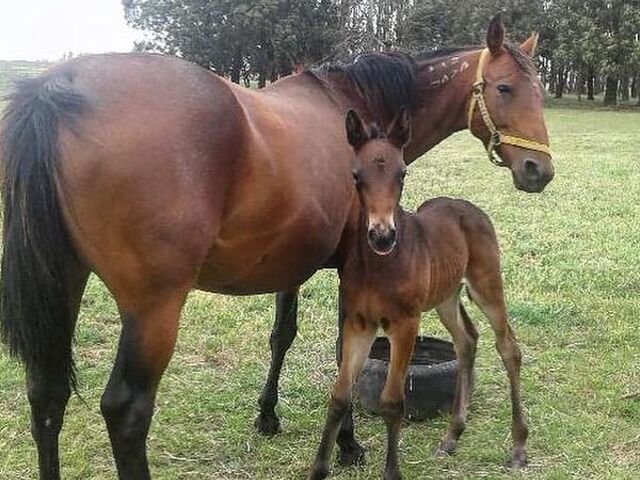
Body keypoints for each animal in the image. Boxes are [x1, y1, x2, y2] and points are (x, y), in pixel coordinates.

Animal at [308, 109, 527, 480]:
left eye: (403, 172)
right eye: (356, 175)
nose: (382, 236)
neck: (380, 265)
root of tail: (467, 206)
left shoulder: (405, 324)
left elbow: (392, 401)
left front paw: (392, 472)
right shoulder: (360, 322)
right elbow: (339, 395)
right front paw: (319, 469)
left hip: (486, 283)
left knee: (508, 346)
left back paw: (519, 446)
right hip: (445, 296)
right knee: (467, 340)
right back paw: (452, 437)